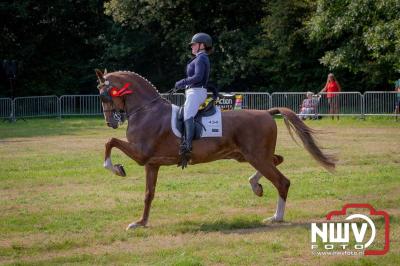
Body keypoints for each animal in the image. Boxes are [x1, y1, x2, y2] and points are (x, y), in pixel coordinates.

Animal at [95, 69, 336, 230]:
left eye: (103, 95)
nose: (110, 122)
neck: (146, 110)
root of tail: (267, 113)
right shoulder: (152, 163)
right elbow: (149, 194)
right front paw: (141, 222)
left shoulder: (141, 154)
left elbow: (110, 142)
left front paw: (116, 168)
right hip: (248, 156)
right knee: (278, 160)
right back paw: (255, 186)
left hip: (255, 156)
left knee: (282, 181)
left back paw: (276, 217)